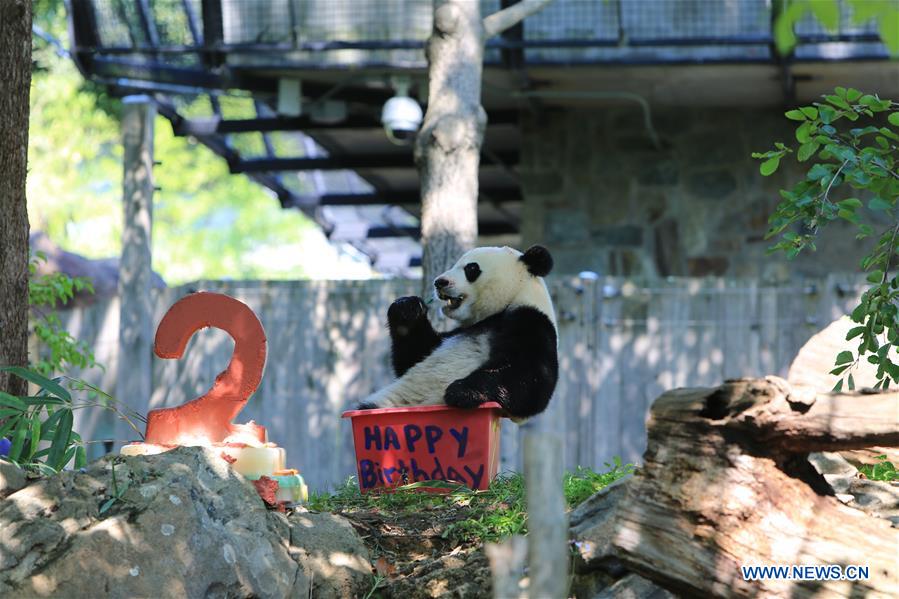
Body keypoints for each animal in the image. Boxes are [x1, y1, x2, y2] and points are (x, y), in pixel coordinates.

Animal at [356, 246, 556, 420]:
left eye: (471, 268)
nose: (439, 282)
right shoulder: (456, 332)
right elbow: (414, 356)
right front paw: (406, 308)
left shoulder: (531, 321)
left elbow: (530, 379)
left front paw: (462, 392)